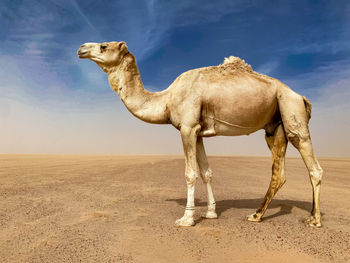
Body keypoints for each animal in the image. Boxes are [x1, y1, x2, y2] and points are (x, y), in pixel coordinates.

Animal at [78, 42, 324, 228]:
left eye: (103, 46)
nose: (81, 48)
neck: (166, 99)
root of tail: (300, 96)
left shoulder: (187, 127)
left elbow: (190, 173)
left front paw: (186, 218)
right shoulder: (198, 132)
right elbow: (206, 172)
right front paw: (210, 213)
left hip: (291, 111)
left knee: (313, 165)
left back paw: (314, 220)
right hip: (275, 126)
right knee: (278, 172)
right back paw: (257, 215)